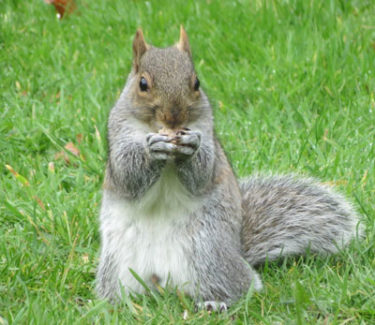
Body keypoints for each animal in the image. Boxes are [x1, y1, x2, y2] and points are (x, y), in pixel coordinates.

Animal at [97, 27, 364, 308]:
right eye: (143, 84)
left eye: (196, 83)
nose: (174, 117)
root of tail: (162, 281)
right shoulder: (118, 135)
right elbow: (127, 173)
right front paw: (152, 149)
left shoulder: (207, 135)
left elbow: (203, 173)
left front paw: (191, 147)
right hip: (117, 266)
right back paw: (117, 306)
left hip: (208, 254)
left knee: (242, 286)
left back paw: (215, 303)